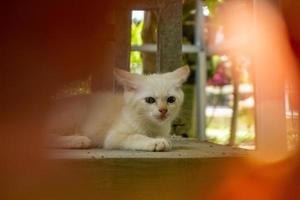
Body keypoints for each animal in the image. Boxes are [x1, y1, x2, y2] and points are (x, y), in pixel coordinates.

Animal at [48, 66, 190, 152]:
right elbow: (135, 136)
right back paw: (78, 140)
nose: (163, 110)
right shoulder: (113, 137)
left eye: (171, 100)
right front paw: (155, 142)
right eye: (150, 100)